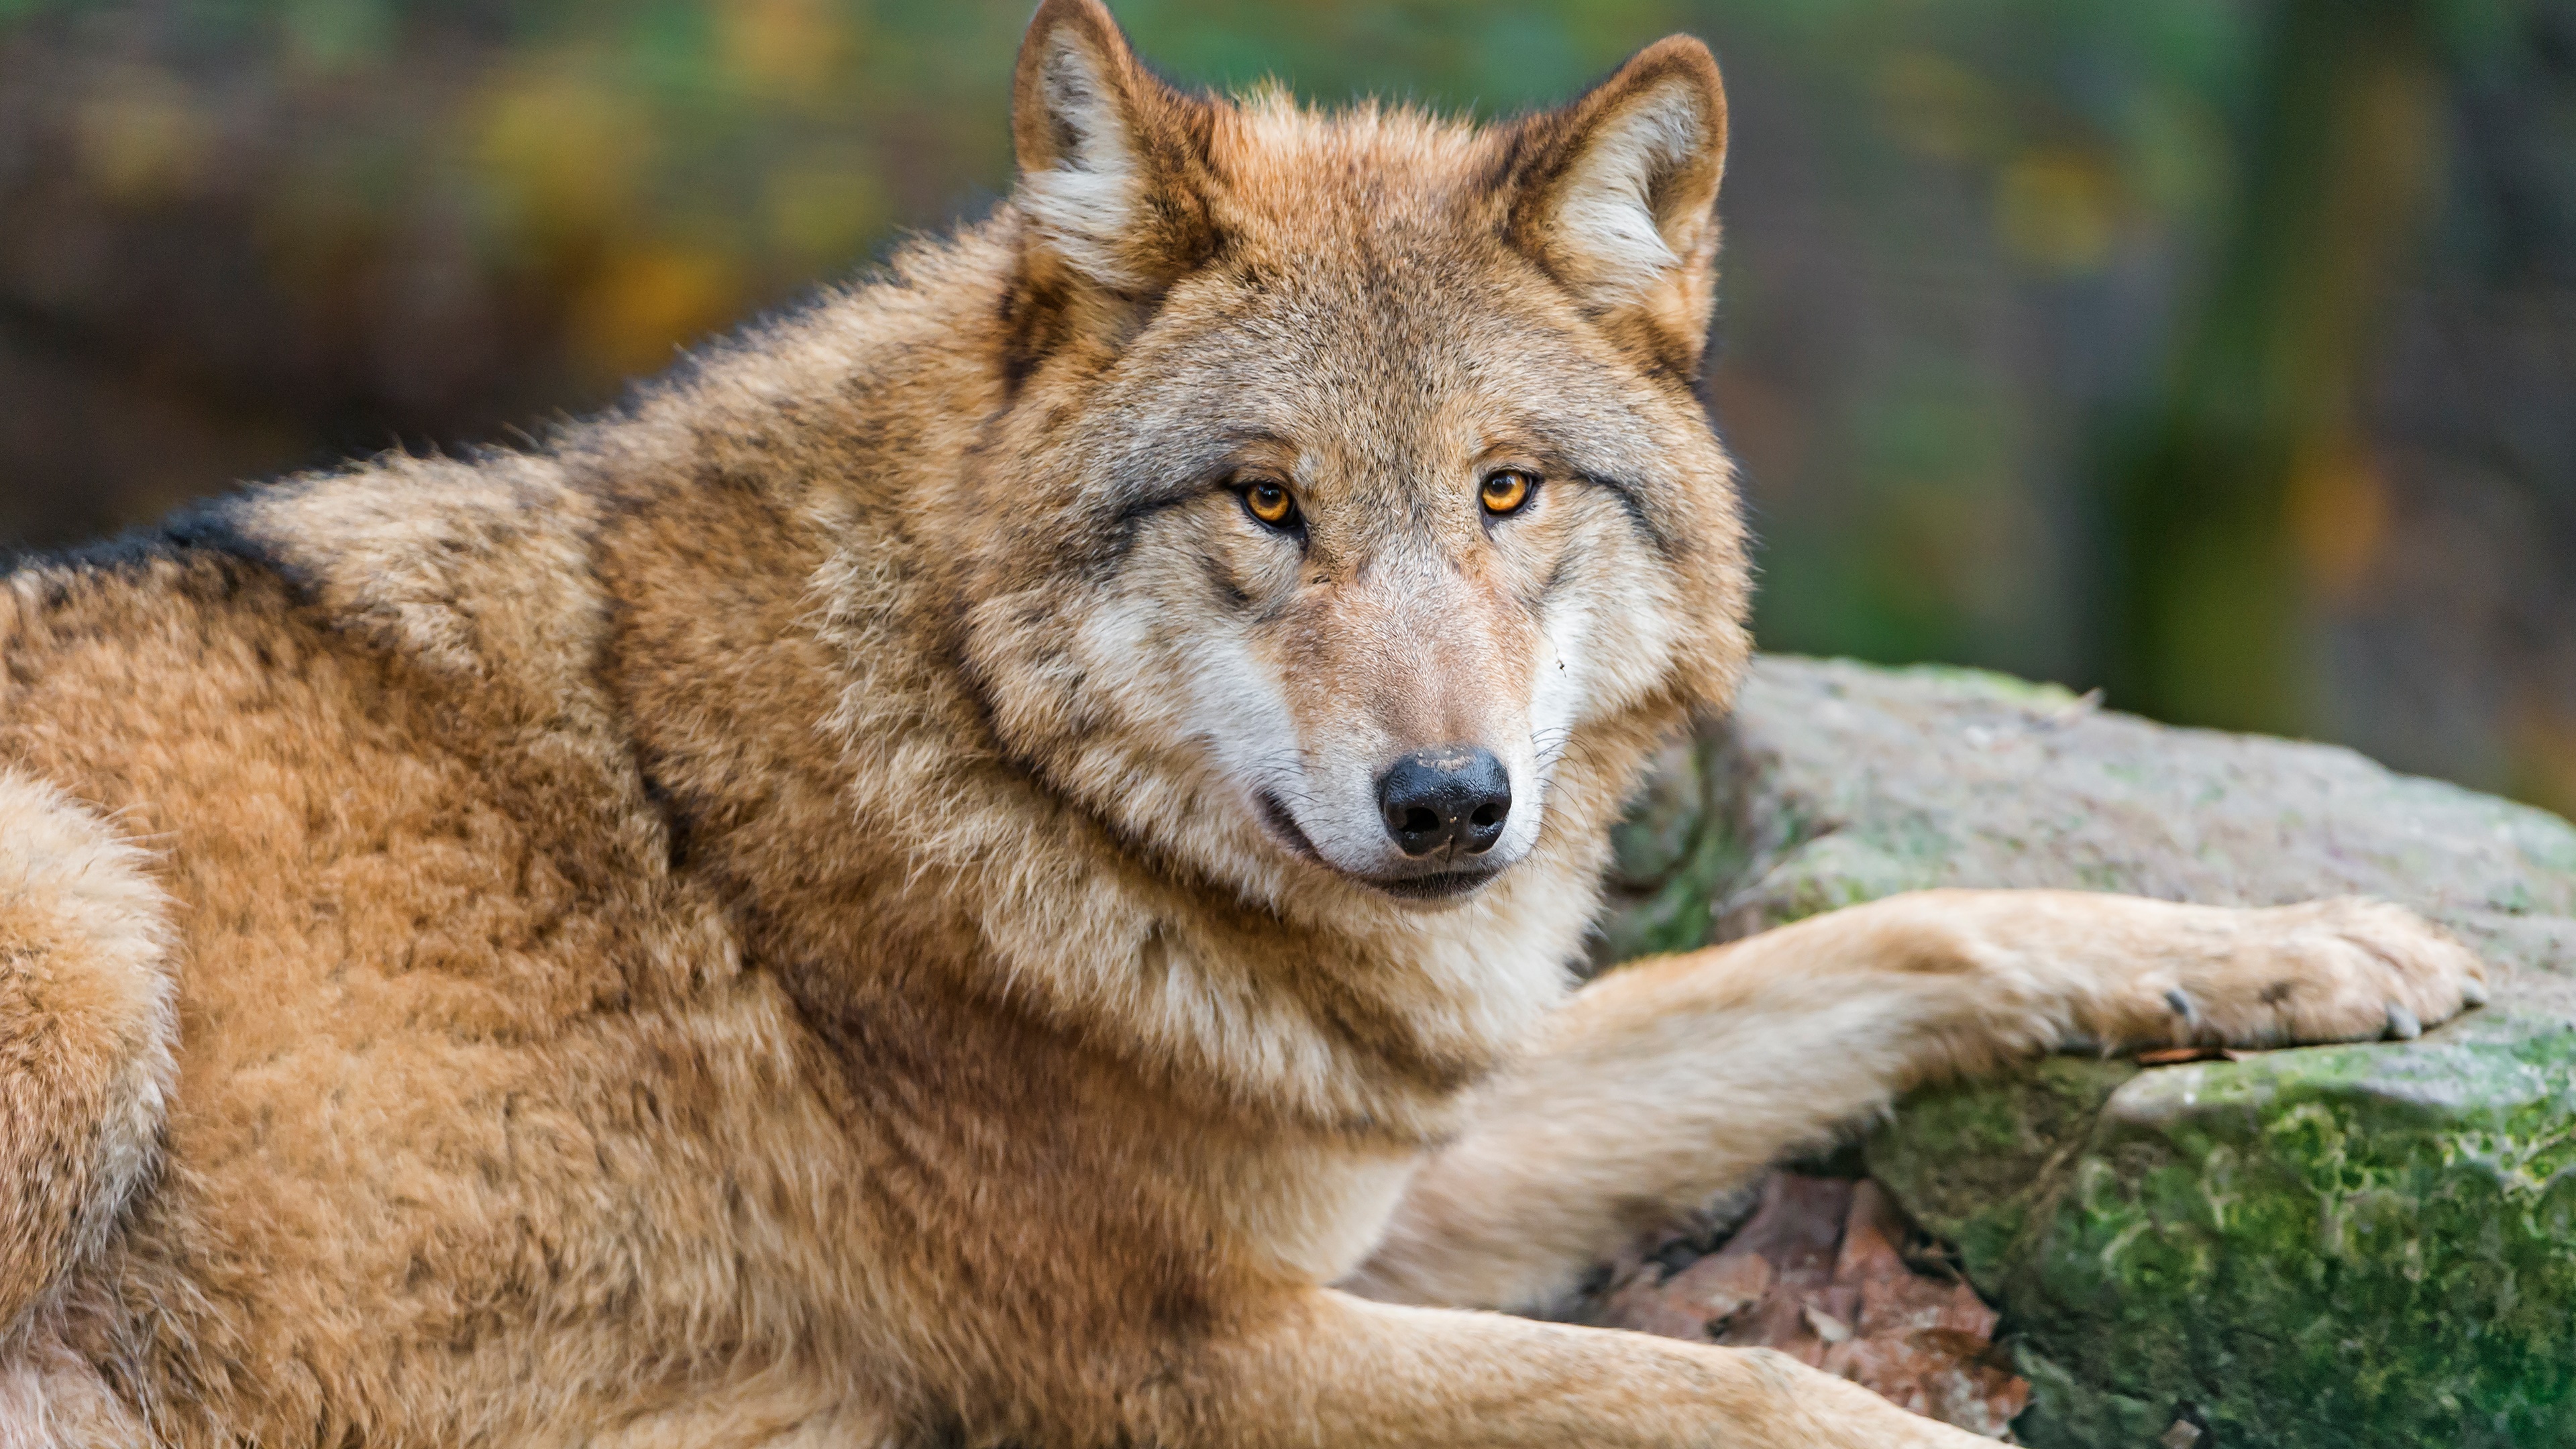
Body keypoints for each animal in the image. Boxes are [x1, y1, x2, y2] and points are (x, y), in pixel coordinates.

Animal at [0, 2, 2485, 1444]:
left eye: (1505, 491)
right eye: (1268, 502)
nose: (1451, 805)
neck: (985, 762)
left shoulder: (1398, 1161)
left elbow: (1899, 936)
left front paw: (2317, 952)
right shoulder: (1188, 1353)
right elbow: (1767, 1401)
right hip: (92, 920)